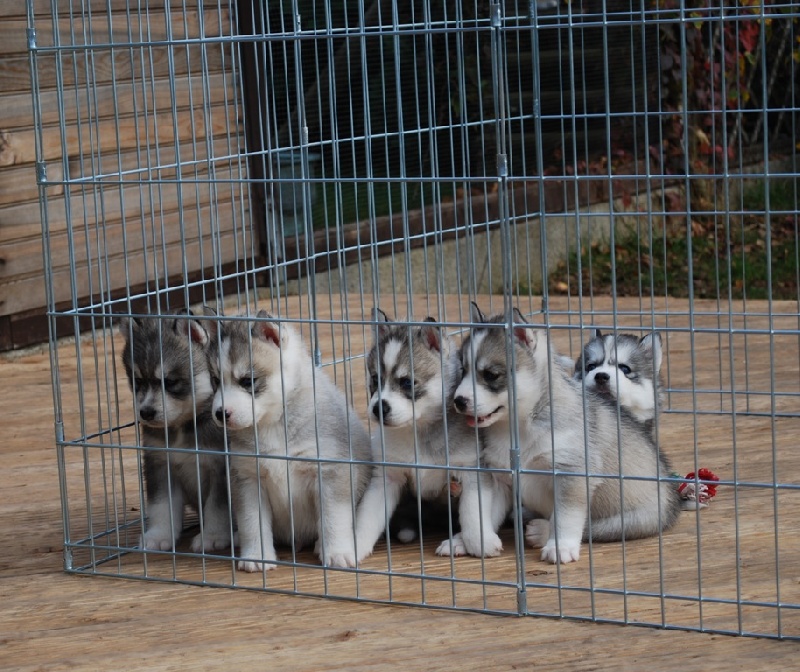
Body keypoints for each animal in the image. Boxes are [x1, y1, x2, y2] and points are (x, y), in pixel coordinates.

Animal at [119, 312, 233, 552]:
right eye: (138, 380)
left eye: (170, 381)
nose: (146, 412)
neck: (183, 426)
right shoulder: (160, 464)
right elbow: (162, 505)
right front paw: (158, 535)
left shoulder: (221, 468)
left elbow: (217, 508)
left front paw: (212, 536)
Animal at [205, 312, 370, 572]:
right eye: (214, 380)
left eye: (248, 381)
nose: (221, 413)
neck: (272, 423)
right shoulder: (247, 478)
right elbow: (252, 523)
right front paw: (256, 556)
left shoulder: (331, 471)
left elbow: (334, 518)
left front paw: (337, 553)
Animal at [354, 310, 496, 560]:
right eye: (375, 380)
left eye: (407, 382)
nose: (378, 408)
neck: (418, 429)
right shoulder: (387, 476)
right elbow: (368, 516)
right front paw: (352, 546)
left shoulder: (472, 470)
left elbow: (473, 511)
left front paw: (480, 542)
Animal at [454, 304, 680, 560]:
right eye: (463, 370)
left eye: (491, 375)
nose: (458, 401)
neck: (519, 426)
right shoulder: (500, 477)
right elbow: (483, 513)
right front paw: (468, 540)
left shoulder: (571, 473)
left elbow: (566, 517)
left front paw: (559, 547)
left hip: (628, 520)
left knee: (589, 528)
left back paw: (541, 532)